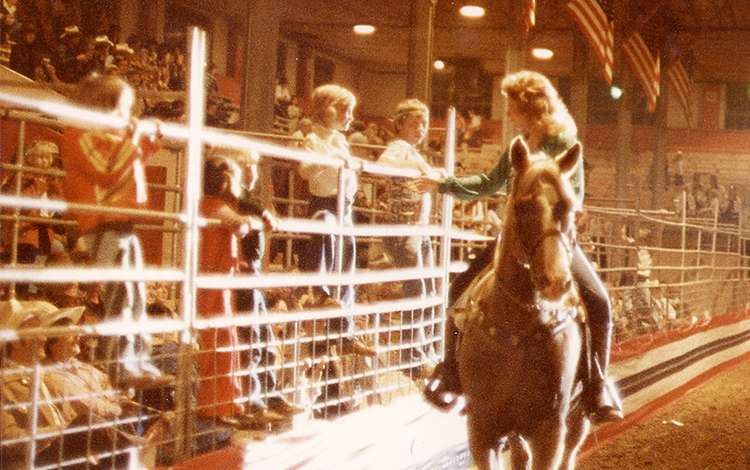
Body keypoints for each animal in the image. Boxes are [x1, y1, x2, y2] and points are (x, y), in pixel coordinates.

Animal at [456, 137, 592, 470]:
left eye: (571, 210)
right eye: (523, 206)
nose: (555, 281)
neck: (519, 330)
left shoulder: (550, 431)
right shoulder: (482, 429)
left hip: (579, 416)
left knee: (570, 452)